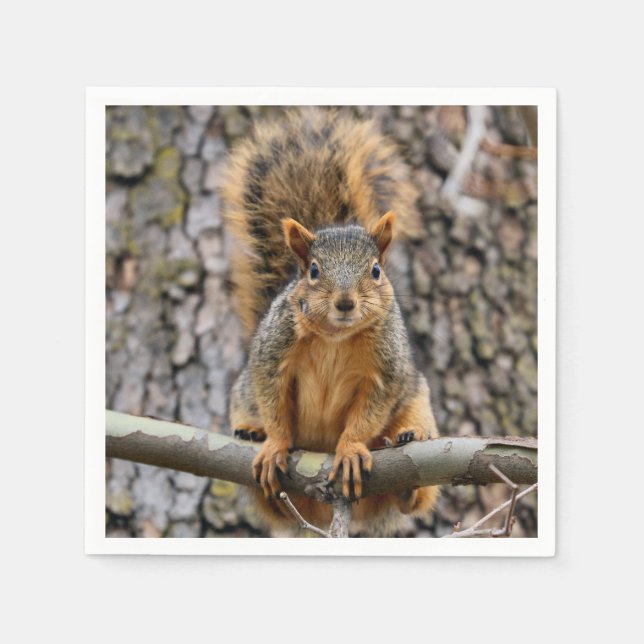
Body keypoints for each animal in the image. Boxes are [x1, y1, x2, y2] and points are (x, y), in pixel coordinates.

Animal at [220, 107, 439, 536]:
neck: (335, 337)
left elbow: (369, 412)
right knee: (274, 506)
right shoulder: (273, 352)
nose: (344, 302)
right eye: (314, 271)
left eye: (375, 271)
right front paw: (274, 442)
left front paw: (351, 448)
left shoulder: (386, 370)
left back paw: (408, 449)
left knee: (413, 496)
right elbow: (272, 399)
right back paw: (252, 434)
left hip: (418, 405)